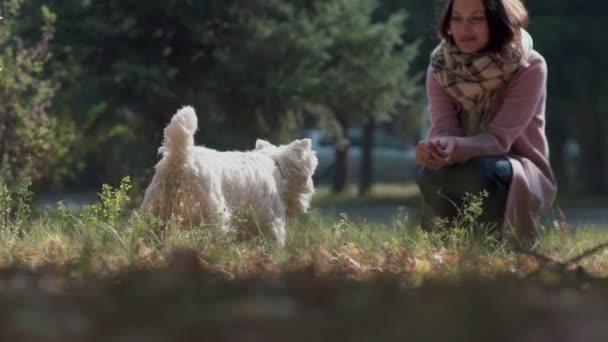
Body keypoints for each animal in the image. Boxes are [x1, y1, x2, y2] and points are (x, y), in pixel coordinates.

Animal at [139, 105, 318, 247]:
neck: (278, 168)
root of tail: (179, 159)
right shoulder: (271, 220)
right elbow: (274, 241)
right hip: (213, 214)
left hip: (156, 212)